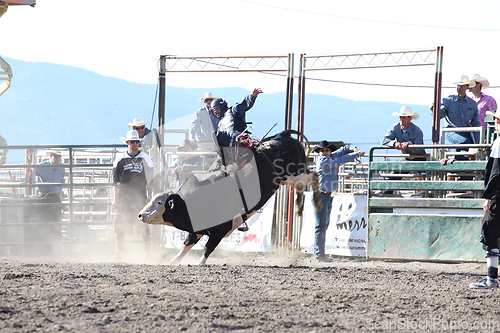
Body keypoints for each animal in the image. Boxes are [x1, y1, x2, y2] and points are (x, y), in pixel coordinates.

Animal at [139, 128, 322, 264]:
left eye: (159, 202)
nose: (140, 215)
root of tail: (283, 136)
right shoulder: (197, 229)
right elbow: (187, 244)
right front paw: (173, 260)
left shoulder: (221, 229)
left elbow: (208, 247)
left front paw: (199, 262)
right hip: (288, 179)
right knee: (301, 185)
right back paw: (298, 207)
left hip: (296, 172)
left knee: (314, 177)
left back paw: (316, 203)